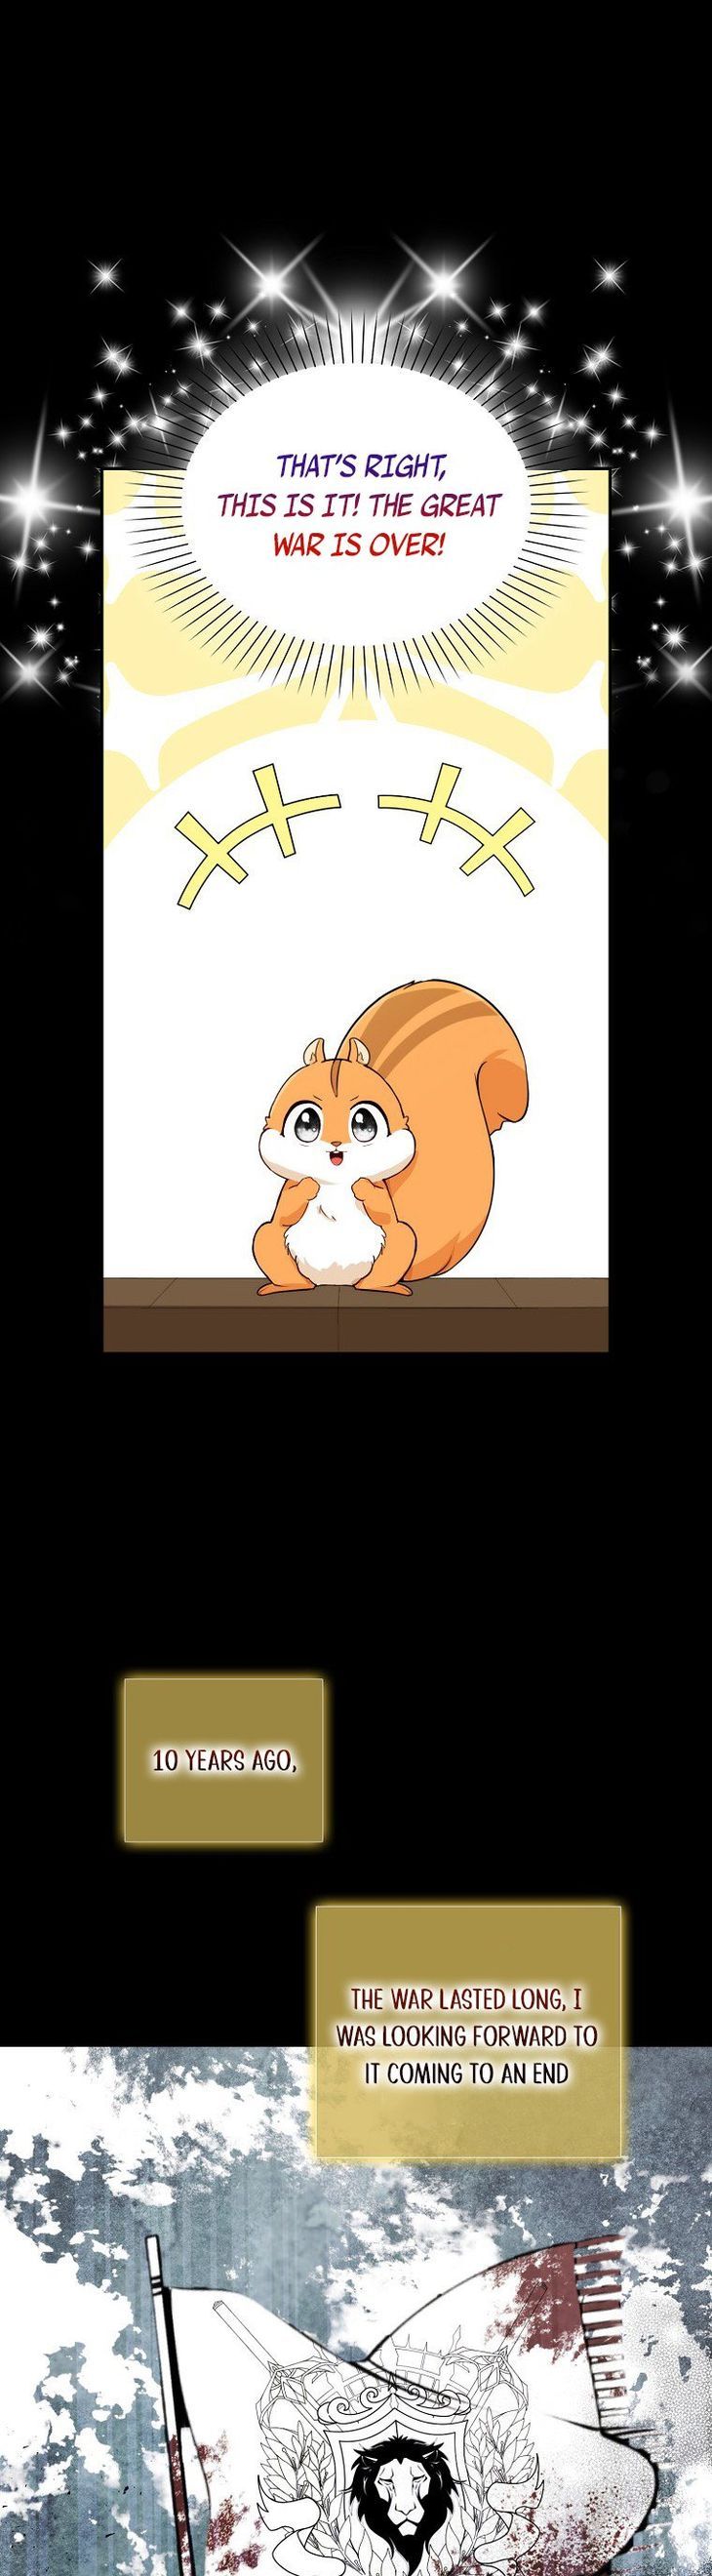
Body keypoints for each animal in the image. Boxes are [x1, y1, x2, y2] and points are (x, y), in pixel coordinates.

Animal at [253, 979, 528, 1296]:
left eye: (364, 1123)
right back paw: (286, 1285)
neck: (336, 1183)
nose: (336, 1146)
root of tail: (337, 1281)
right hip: (266, 1239)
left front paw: (361, 1186)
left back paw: (384, 1286)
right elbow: (287, 1207)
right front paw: (309, 1185)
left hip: (402, 1239)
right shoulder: (286, 1195)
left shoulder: (382, 1197)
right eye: (307, 1123)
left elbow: (381, 1208)